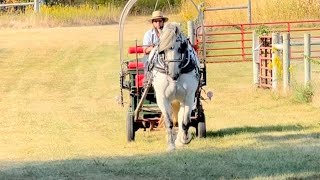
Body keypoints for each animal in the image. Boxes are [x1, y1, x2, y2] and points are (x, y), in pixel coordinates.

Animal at [148, 22, 200, 150]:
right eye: (162, 50)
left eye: (181, 47)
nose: (173, 74)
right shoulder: (162, 98)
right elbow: (169, 122)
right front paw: (171, 145)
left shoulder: (189, 96)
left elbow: (184, 121)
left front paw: (184, 139)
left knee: (180, 117)